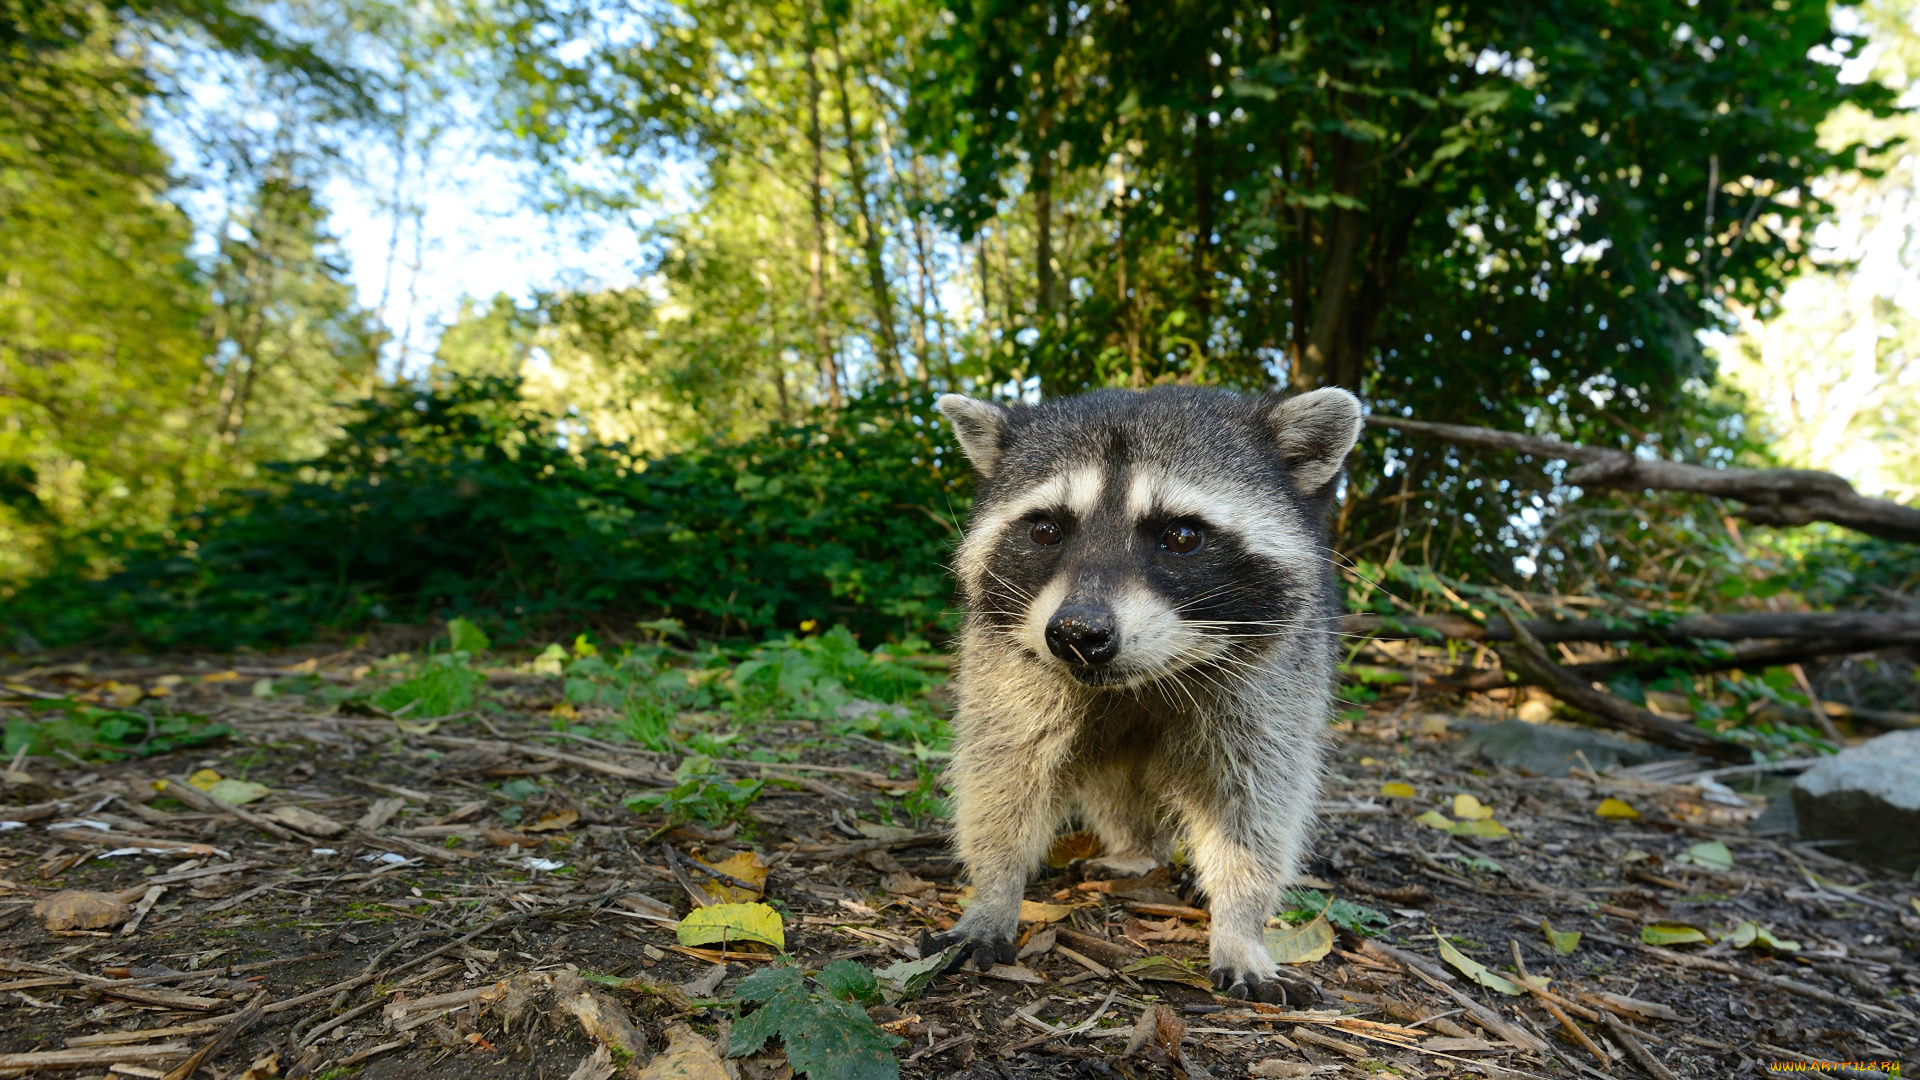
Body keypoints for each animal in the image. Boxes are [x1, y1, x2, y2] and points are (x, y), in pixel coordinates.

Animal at [917, 380, 1359, 999]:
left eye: (1181, 534)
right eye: (1046, 529)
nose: (1077, 634)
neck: (1141, 679)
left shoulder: (1277, 676)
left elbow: (1258, 798)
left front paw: (1241, 922)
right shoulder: (1006, 665)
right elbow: (1003, 770)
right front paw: (994, 891)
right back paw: (1135, 848)